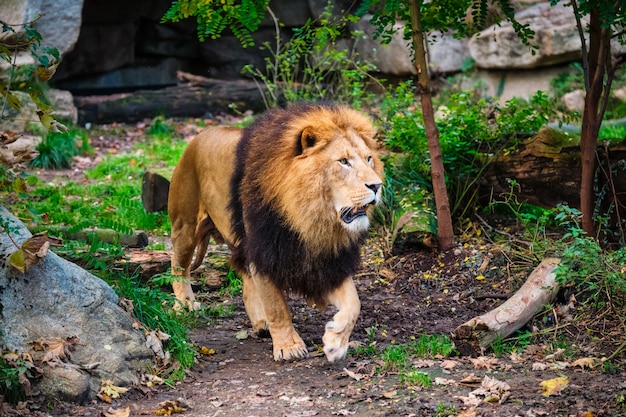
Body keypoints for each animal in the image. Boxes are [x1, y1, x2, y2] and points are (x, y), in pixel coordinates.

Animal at [167, 103, 380, 360]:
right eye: (344, 161)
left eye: (369, 159)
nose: (377, 186)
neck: (309, 218)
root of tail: (197, 137)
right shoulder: (264, 250)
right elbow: (277, 306)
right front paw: (289, 347)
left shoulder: (326, 261)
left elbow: (354, 303)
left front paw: (335, 342)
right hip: (186, 225)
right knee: (178, 265)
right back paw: (185, 304)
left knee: (244, 275)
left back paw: (260, 322)